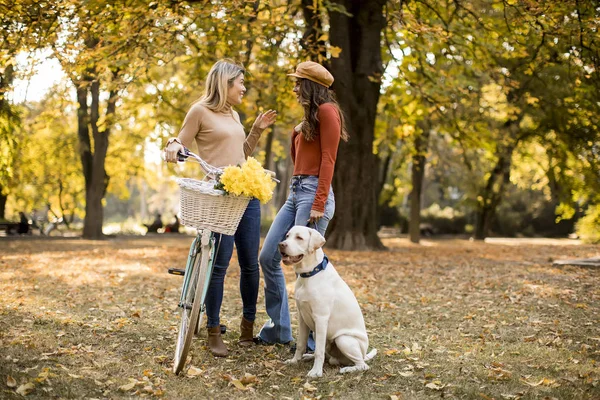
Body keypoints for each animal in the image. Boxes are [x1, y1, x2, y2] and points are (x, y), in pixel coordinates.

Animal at [280, 227, 376, 376]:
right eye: (287, 236)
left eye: (299, 238)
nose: (281, 245)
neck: (310, 274)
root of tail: (364, 353)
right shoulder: (302, 317)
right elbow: (301, 344)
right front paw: (295, 361)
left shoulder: (320, 318)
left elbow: (319, 351)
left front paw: (316, 372)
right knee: (326, 354)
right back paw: (309, 356)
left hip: (343, 339)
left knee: (362, 365)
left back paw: (347, 369)